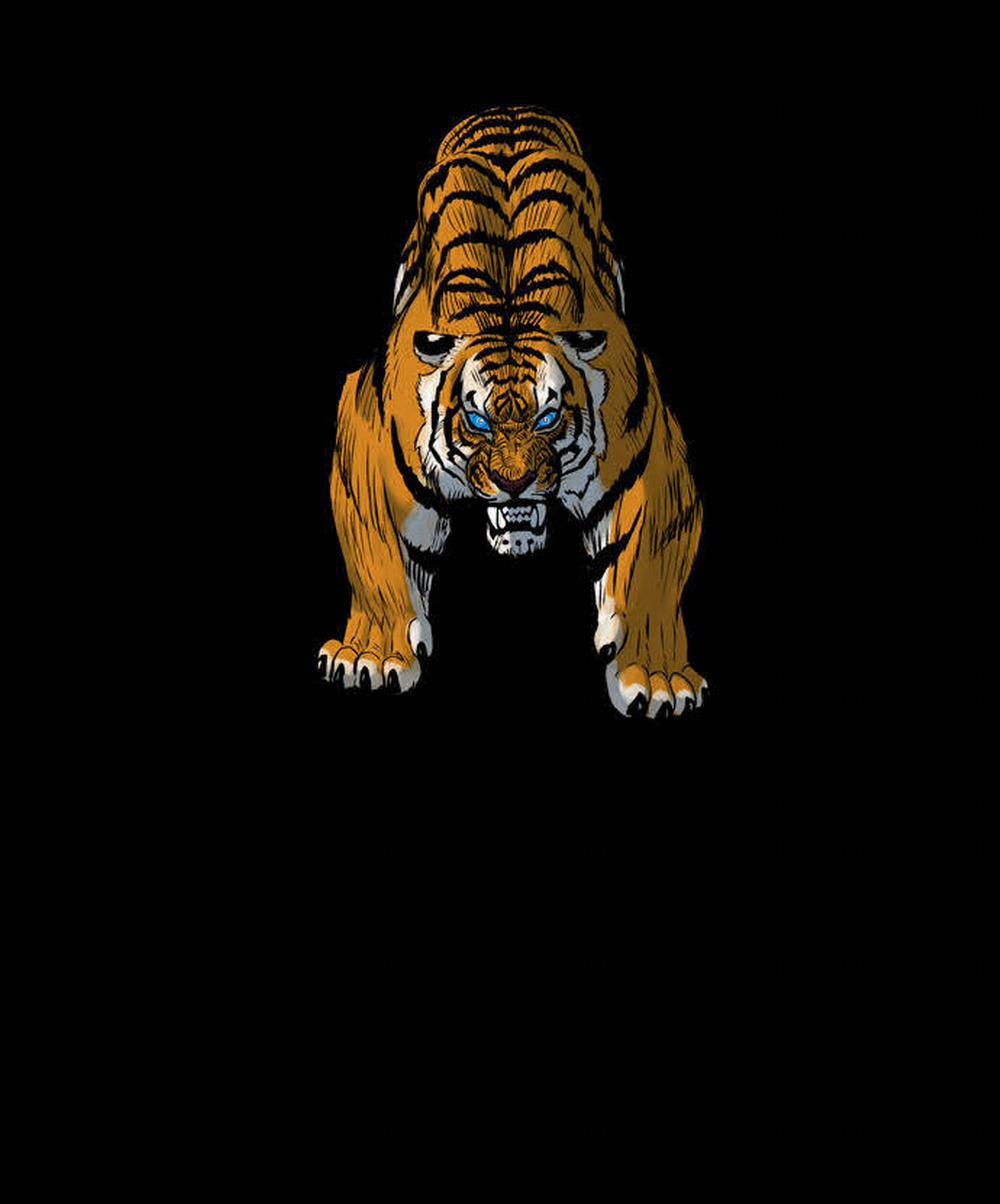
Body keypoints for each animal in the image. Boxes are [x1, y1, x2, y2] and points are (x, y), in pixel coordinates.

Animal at [317, 106, 706, 717]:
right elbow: (377, 556)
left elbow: (649, 568)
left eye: (547, 418)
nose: (515, 482)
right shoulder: (368, 436)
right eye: (478, 422)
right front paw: (371, 656)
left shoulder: (651, 454)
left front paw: (658, 678)